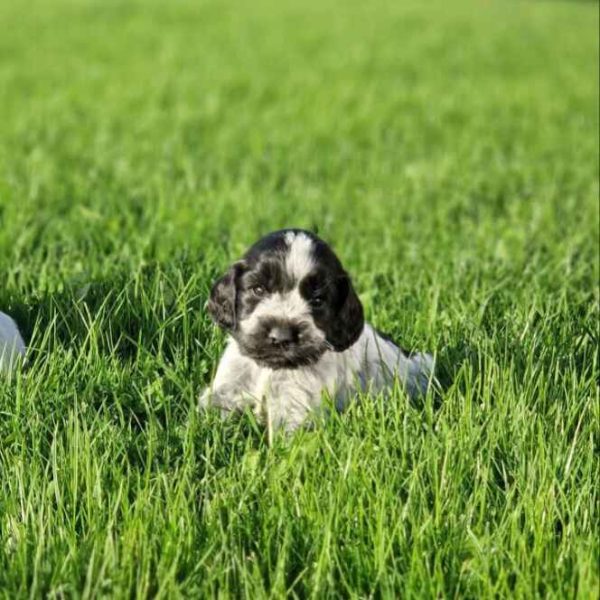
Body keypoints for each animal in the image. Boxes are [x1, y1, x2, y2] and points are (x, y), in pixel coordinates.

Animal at [199, 230, 434, 432]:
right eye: (258, 289)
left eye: (318, 300)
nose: (281, 336)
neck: (269, 367)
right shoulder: (228, 387)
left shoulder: (294, 403)